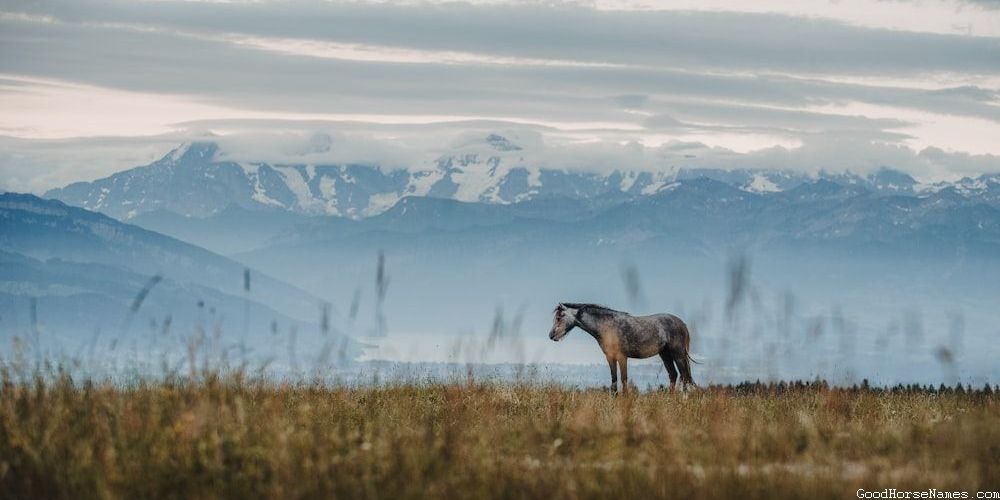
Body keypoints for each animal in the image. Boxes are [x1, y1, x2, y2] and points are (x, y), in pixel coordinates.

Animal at [549, 303, 697, 392]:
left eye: (560, 317)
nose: (551, 335)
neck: (608, 326)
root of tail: (682, 323)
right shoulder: (610, 357)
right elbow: (614, 381)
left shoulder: (622, 357)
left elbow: (624, 380)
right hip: (665, 355)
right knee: (674, 375)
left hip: (678, 354)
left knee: (684, 375)